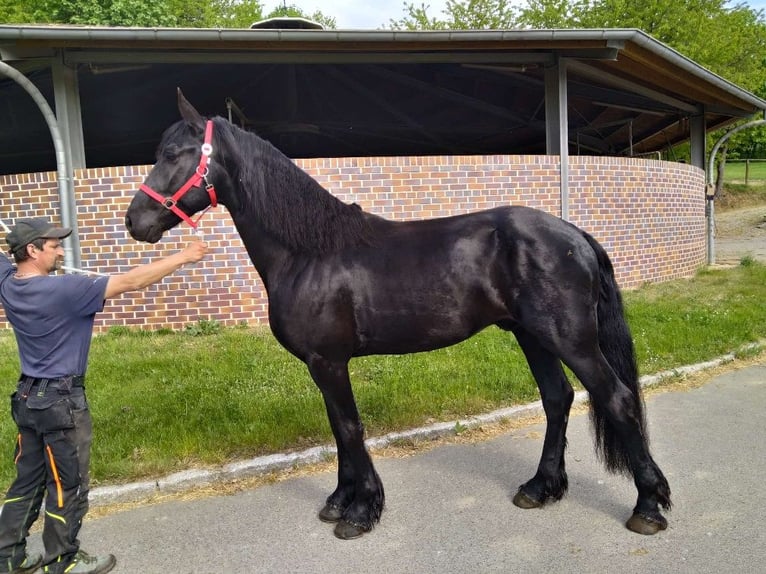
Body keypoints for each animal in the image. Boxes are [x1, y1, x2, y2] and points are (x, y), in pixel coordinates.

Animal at [125, 89, 671, 540]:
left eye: (173, 154)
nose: (135, 221)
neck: (308, 252)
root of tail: (574, 233)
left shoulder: (328, 362)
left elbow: (349, 428)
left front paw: (361, 512)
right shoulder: (323, 366)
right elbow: (337, 428)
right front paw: (339, 500)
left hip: (570, 338)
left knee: (616, 398)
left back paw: (647, 506)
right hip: (532, 335)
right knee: (557, 399)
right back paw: (540, 488)